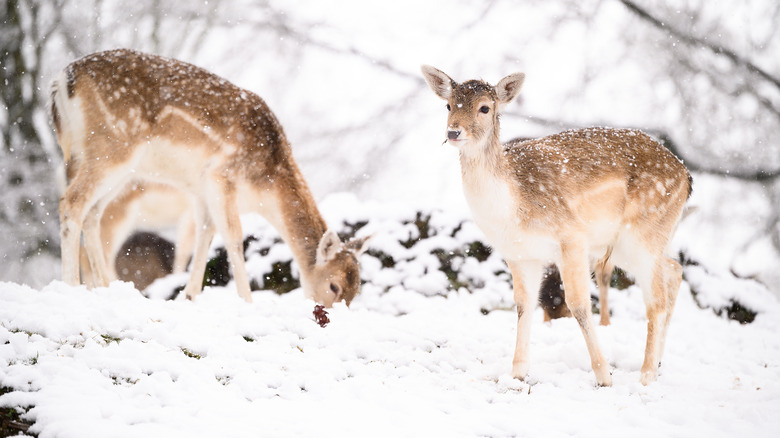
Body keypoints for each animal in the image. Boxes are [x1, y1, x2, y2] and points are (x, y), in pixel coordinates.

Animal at [51, 48, 368, 306]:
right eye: (334, 285)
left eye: (356, 291)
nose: (326, 317)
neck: (263, 187)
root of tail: (63, 81)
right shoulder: (221, 176)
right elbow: (233, 238)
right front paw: (247, 301)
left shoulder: (200, 191)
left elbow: (206, 234)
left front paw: (189, 295)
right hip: (111, 148)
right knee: (72, 203)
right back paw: (71, 286)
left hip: (107, 166)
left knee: (92, 214)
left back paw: (107, 287)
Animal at [424, 64, 692, 384]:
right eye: (448, 105)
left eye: (485, 107)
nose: (453, 131)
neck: (513, 207)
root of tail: (687, 176)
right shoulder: (520, 254)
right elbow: (524, 306)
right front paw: (517, 374)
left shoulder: (572, 236)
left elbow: (578, 305)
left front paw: (604, 376)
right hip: (636, 242)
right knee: (675, 269)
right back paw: (659, 364)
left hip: (643, 234)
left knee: (656, 301)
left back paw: (646, 375)